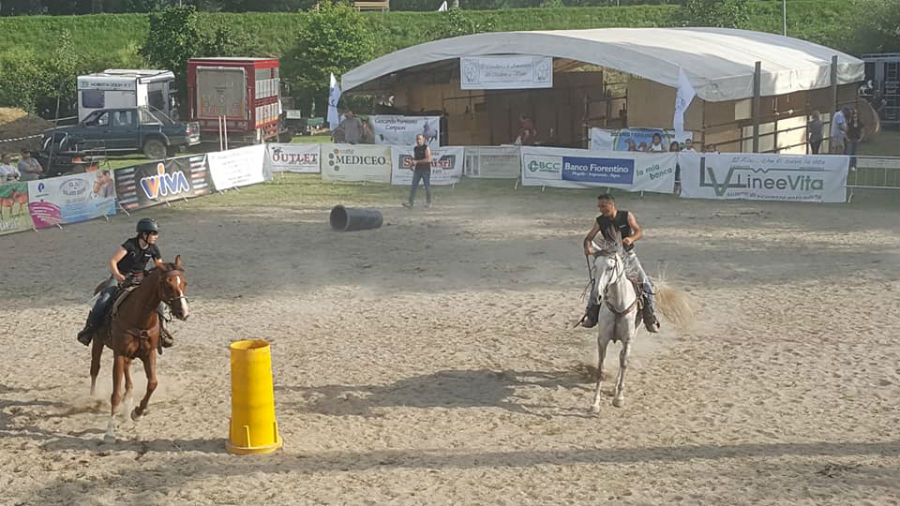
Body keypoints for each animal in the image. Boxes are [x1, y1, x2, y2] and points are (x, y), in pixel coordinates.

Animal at [88, 256, 190, 441]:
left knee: (127, 374)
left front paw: (138, 411)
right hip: (98, 342)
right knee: (95, 368)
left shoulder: (149, 353)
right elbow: (115, 394)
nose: (184, 312)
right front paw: (110, 430)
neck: (139, 317)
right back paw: (93, 398)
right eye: (168, 285)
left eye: (184, 282)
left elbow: (153, 383)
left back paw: (128, 399)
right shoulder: (119, 354)